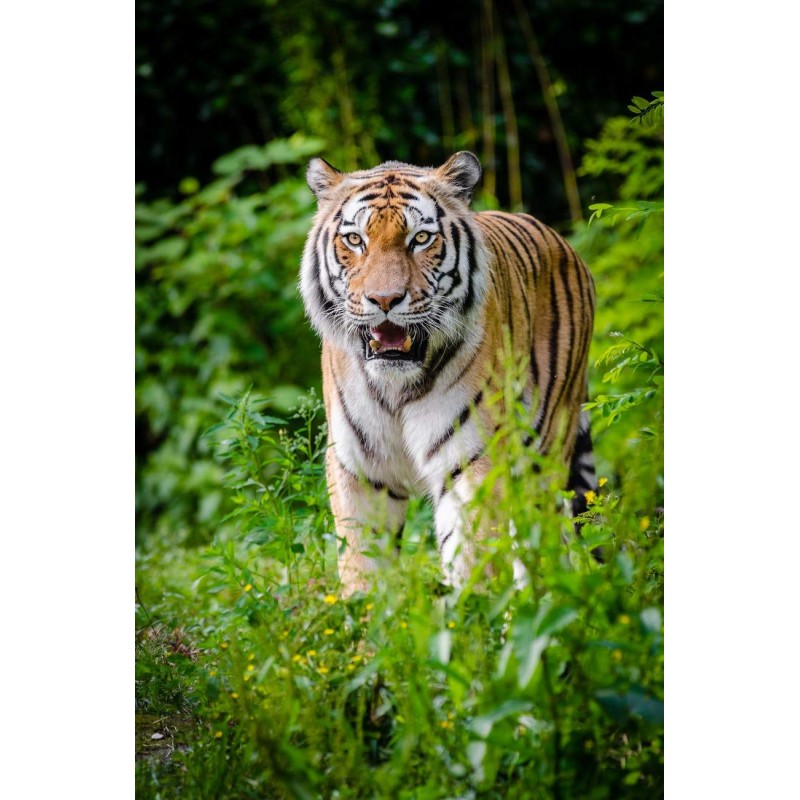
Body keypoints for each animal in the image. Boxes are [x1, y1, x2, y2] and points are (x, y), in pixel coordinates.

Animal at [300, 151, 596, 595]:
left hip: (544, 454)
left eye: (421, 238)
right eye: (354, 240)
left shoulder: (470, 461)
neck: (396, 386)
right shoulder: (359, 470)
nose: (384, 299)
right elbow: (362, 568)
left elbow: (472, 558)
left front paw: (471, 612)